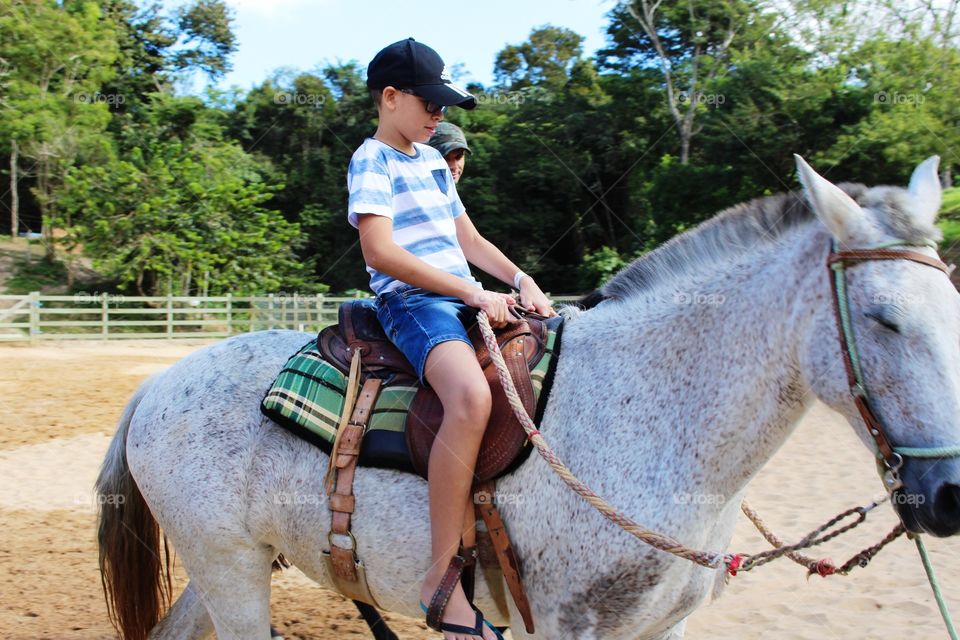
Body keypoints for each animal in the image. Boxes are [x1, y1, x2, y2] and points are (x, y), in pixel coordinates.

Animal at [96, 155, 960, 639]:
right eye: (882, 319)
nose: (952, 494)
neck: (651, 425)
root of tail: (158, 384)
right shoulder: (568, 627)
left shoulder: (663, 629)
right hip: (230, 570)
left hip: (229, 568)